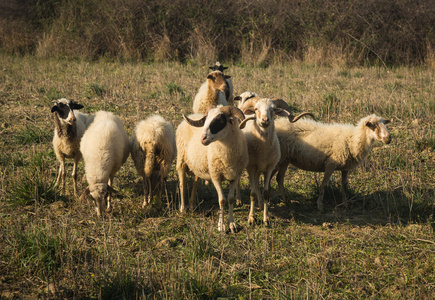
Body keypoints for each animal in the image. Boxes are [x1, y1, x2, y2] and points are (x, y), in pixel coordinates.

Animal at [238, 97, 292, 226]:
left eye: (273, 109)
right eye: (256, 109)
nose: (265, 120)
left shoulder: (269, 168)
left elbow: (266, 193)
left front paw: (266, 218)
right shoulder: (251, 167)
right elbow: (252, 193)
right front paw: (251, 218)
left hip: (259, 169)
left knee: (257, 185)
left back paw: (261, 205)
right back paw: (238, 200)